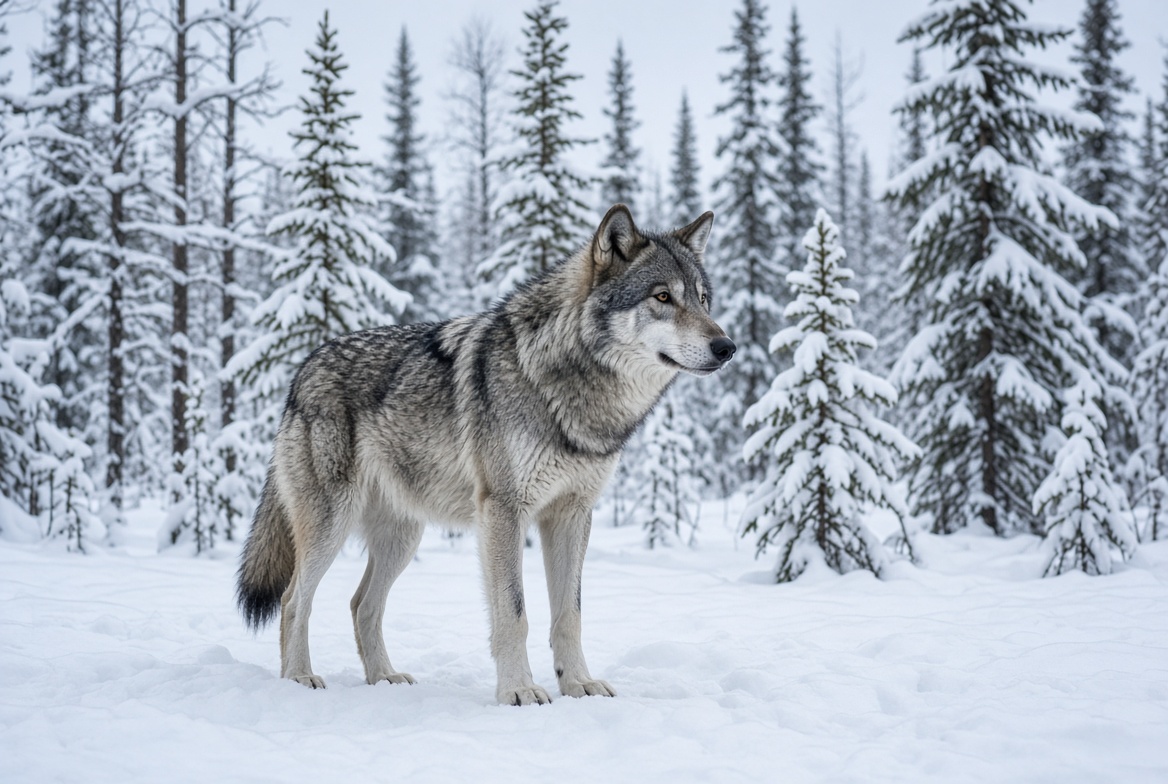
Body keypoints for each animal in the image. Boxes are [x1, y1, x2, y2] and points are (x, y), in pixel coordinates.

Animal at [235, 204, 735, 705]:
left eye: (703, 300)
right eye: (663, 297)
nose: (728, 347)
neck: (566, 384)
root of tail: (302, 370)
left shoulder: (572, 514)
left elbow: (569, 615)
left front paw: (578, 684)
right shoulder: (503, 511)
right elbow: (514, 612)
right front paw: (519, 690)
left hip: (403, 537)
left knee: (361, 604)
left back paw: (385, 678)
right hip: (331, 525)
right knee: (294, 599)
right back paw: (299, 678)